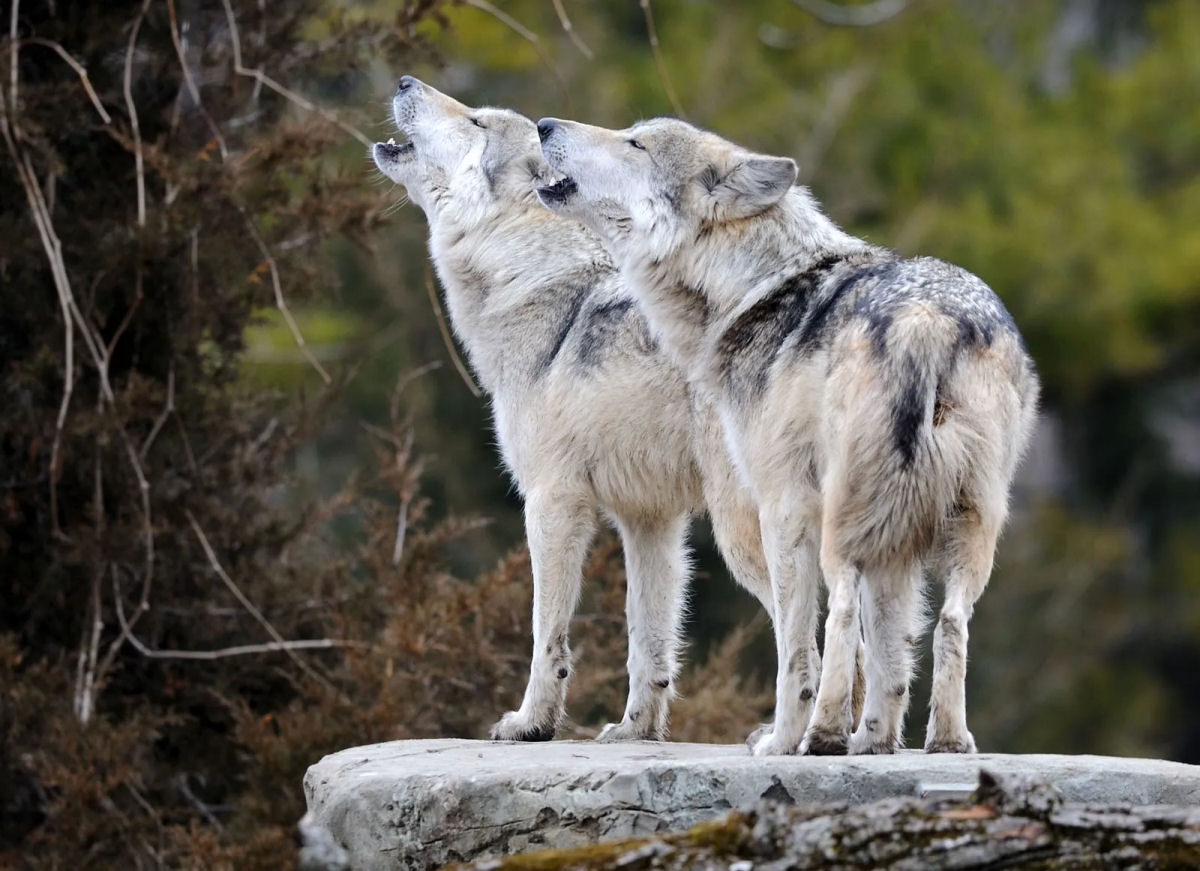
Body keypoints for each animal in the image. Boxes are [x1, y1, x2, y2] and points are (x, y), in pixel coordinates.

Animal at [367, 78, 777, 743]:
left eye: (476, 122)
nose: (404, 81)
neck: (537, 286)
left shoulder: (551, 502)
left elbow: (547, 635)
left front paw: (531, 723)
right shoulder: (650, 522)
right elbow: (648, 642)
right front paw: (637, 732)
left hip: (741, 533)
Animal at [540, 114, 1036, 758]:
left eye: (635, 142)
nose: (545, 124)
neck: (756, 288)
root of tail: (924, 319)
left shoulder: (782, 506)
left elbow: (797, 648)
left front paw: (785, 738)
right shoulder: (895, 545)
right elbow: (891, 657)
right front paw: (875, 742)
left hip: (840, 522)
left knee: (840, 613)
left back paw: (818, 737)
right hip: (965, 524)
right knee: (950, 623)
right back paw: (945, 743)